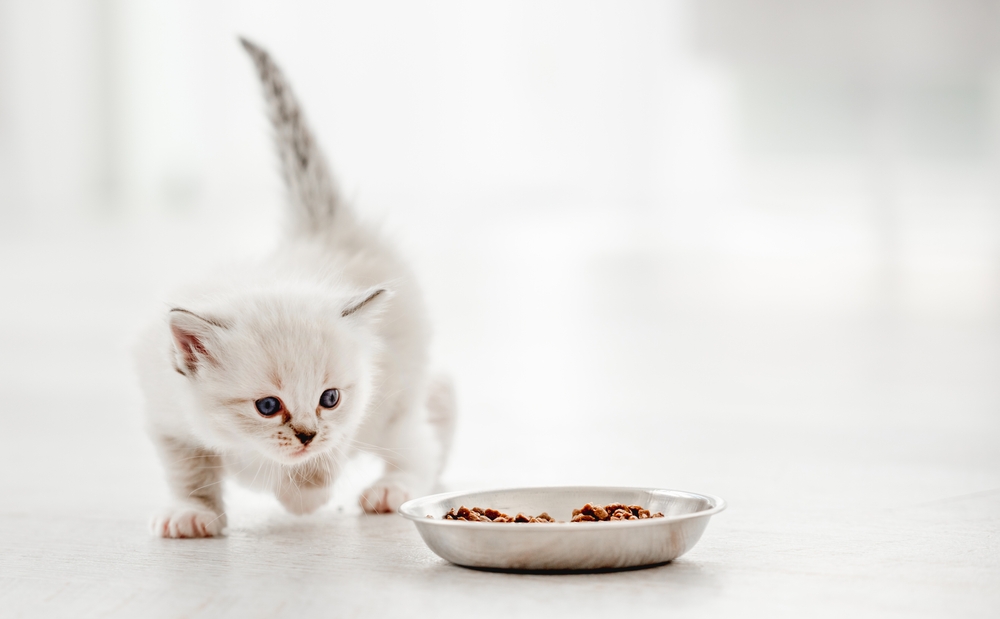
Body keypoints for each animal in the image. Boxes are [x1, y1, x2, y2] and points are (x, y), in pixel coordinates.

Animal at [135, 41, 456, 540]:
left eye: (330, 399)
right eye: (268, 406)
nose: (306, 433)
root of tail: (324, 226)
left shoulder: (366, 396)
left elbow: (329, 453)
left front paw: (305, 493)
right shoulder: (167, 415)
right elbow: (187, 469)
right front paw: (191, 512)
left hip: (396, 396)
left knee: (419, 437)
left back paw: (393, 489)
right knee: (440, 402)